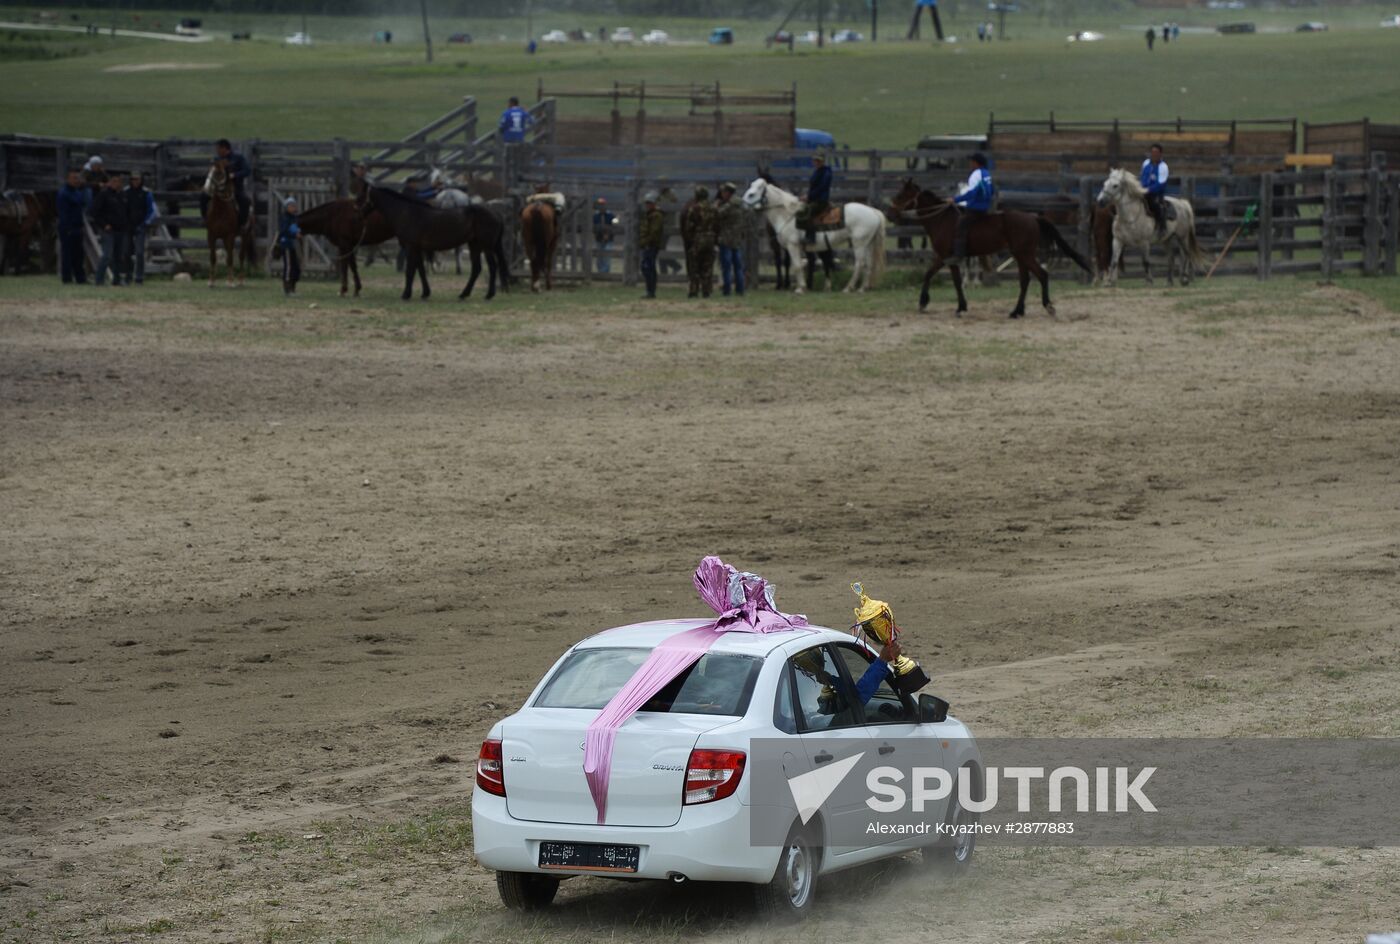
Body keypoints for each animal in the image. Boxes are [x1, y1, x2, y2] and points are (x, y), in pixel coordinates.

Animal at [366, 183, 509, 298]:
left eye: (363, 195)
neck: (407, 213)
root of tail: (495, 213)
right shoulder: (417, 249)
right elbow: (421, 270)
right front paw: (425, 293)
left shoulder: (411, 247)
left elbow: (410, 271)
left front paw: (406, 294)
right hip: (475, 245)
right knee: (476, 268)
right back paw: (464, 294)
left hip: (486, 247)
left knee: (492, 266)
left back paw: (489, 294)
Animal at [744, 176, 884, 292]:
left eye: (751, 194)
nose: (742, 204)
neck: (787, 215)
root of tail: (873, 211)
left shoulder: (792, 245)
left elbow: (797, 265)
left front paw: (800, 288)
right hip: (868, 243)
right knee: (868, 264)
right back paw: (862, 288)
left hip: (859, 244)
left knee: (859, 264)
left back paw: (848, 288)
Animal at [884, 178, 1092, 317]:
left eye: (901, 195)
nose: (889, 213)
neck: (941, 219)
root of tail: (1033, 217)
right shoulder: (948, 259)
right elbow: (952, 280)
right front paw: (960, 306)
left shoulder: (944, 256)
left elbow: (933, 275)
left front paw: (925, 303)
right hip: (1020, 256)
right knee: (1025, 280)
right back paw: (1017, 311)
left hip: (1024, 255)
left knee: (1042, 275)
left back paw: (1047, 306)